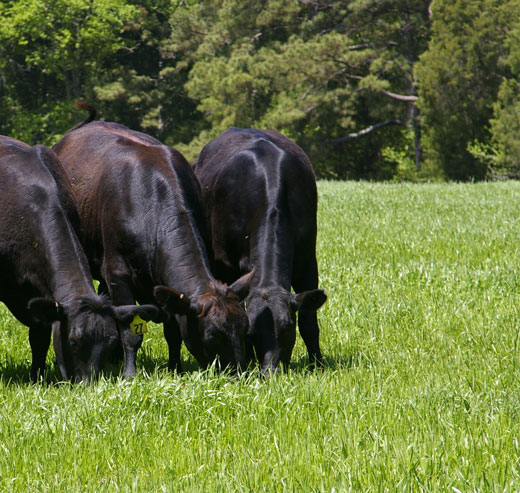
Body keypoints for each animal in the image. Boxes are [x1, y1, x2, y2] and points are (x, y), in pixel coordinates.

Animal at [53, 108, 253, 376]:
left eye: (244, 328)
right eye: (212, 335)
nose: (239, 374)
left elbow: (173, 331)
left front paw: (176, 367)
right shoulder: (117, 274)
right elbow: (130, 330)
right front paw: (129, 373)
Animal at [193, 127, 328, 372]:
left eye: (287, 328)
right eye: (251, 332)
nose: (269, 372)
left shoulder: (307, 259)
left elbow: (309, 321)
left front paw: (317, 363)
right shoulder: (225, 264)